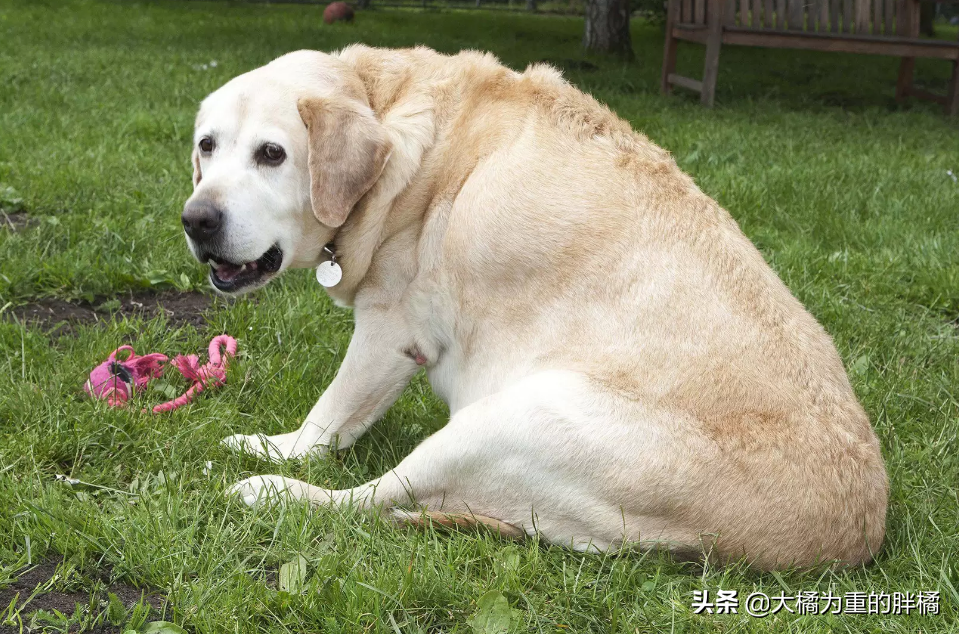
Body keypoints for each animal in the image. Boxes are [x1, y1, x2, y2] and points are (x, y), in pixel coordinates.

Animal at [184, 44, 888, 568]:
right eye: (206, 146)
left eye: (272, 154)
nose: (196, 220)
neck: (387, 99)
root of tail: (848, 541)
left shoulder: (390, 329)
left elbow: (328, 419)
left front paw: (281, 452)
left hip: (508, 420)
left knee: (368, 501)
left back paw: (270, 490)